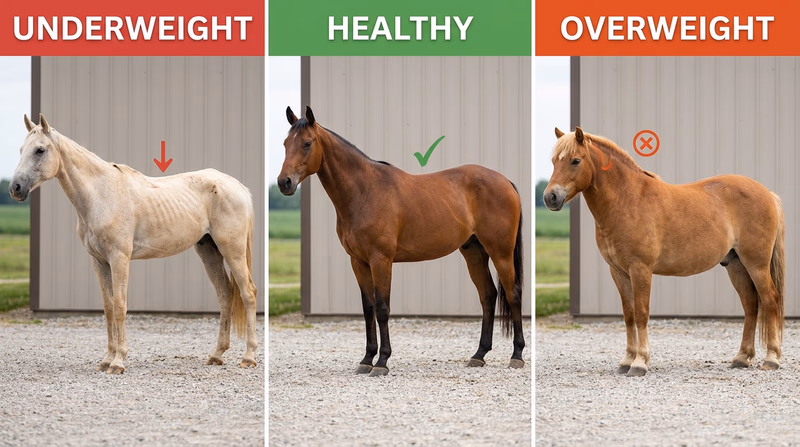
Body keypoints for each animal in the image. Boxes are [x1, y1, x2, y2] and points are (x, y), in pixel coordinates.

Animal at [9, 114, 258, 374]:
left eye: (40, 150)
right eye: (21, 150)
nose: (15, 188)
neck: (101, 194)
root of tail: (238, 186)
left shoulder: (119, 258)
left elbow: (120, 306)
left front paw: (118, 362)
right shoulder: (99, 262)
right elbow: (108, 308)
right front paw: (107, 359)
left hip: (233, 251)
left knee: (248, 293)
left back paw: (249, 357)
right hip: (209, 251)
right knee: (225, 295)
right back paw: (216, 355)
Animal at [278, 106, 525, 376]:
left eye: (307, 143)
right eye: (285, 143)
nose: (284, 182)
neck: (365, 191)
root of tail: (506, 182)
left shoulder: (381, 260)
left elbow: (383, 308)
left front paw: (382, 362)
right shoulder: (359, 262)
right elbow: (368, 309)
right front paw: (367, 359)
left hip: (501, 253)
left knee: (512, 294)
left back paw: (517, 355)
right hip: (474, 252)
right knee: (488, 295)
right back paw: (479, 355)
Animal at [544, 127, 785, 377]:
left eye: (575, 160)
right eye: (554, 161)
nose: (550, 197)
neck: (627, 200)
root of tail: (768, 194)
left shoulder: (640, 269)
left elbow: (641, 313)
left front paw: (640, 362)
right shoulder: (618, 272)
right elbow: (629, 315)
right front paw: (626, 360)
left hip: (756, 264)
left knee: (770, 300)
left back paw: (771, 359)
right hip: (736, 265)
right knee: (751, 305)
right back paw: (741, 358)